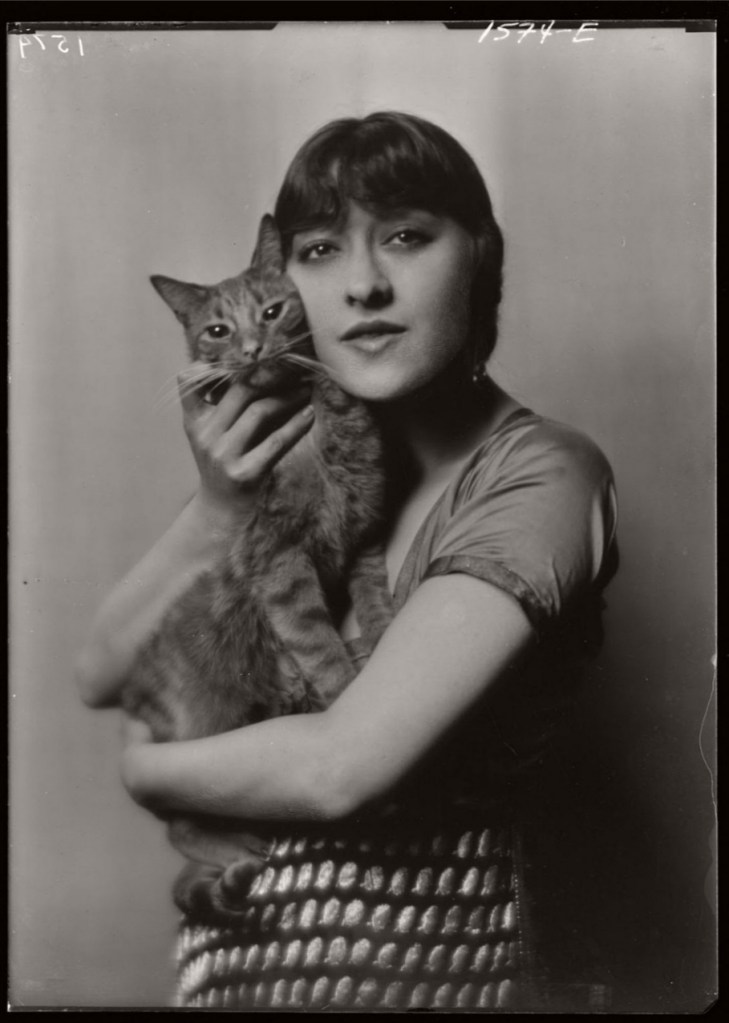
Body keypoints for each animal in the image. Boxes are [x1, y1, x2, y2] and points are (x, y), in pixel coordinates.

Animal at [122, 214, 394, 921]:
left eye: (272, 311)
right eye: (217, 330)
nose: (250, 347)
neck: (314, 430)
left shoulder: (365, 531)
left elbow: (374, 594)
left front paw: (384, 632)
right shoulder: (281, 562)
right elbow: (320, 646)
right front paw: (347, 690)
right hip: (205, 728)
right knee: (181, 821)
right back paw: (236, 854)